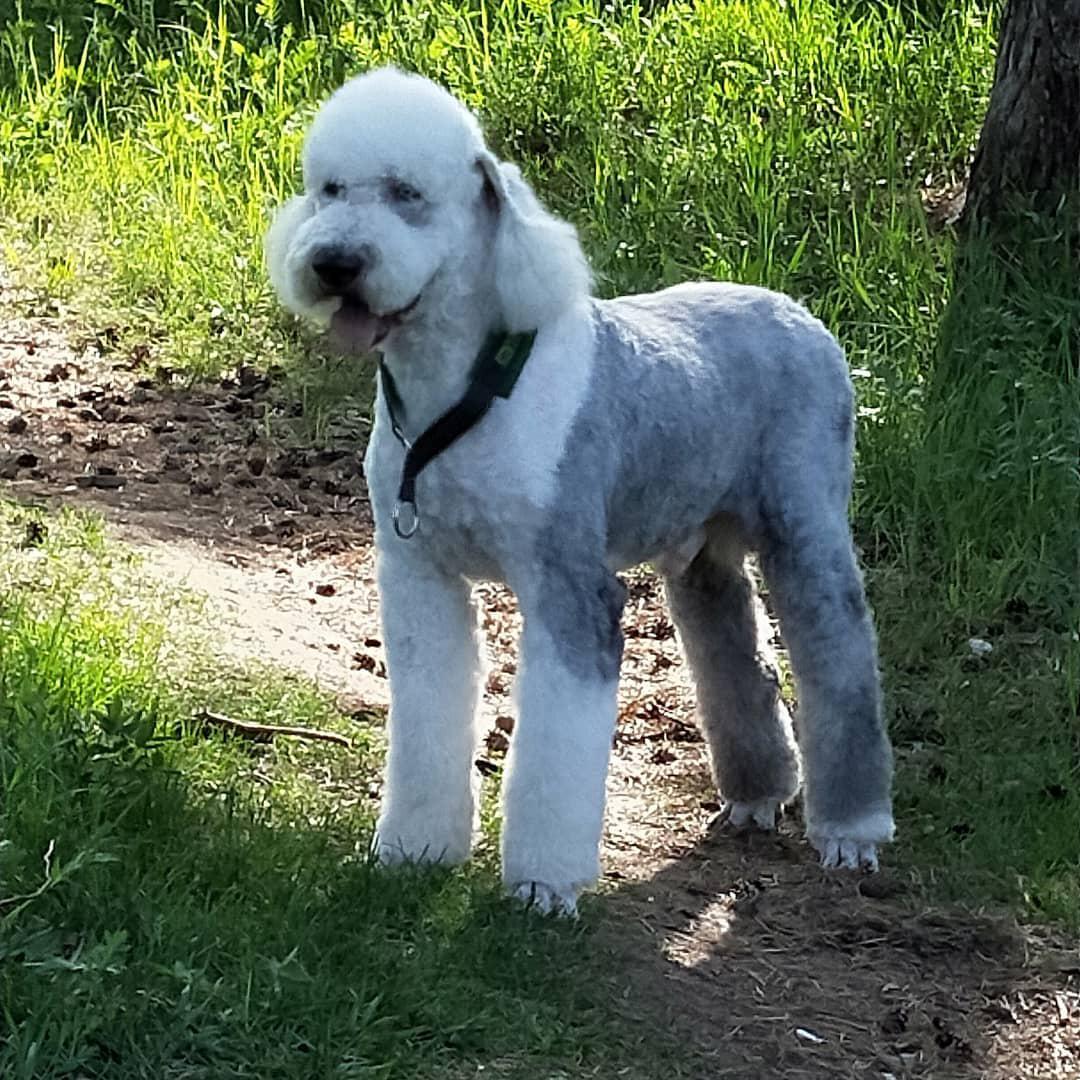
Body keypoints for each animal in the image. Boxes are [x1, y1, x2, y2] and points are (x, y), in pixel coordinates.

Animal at [263, 65, 894, 911]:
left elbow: (557, 748)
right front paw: (414, 851)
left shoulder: (567, 586)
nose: (334, 263)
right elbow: (429, 716)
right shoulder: (421, 576)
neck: (465, 390)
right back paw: (757, 796)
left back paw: (852, 831)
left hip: (805, 523)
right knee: (735, 647)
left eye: (405, 193)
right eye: (329, 189)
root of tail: (800, 314)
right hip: (701, 548)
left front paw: (541, 888)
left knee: (840, 653)